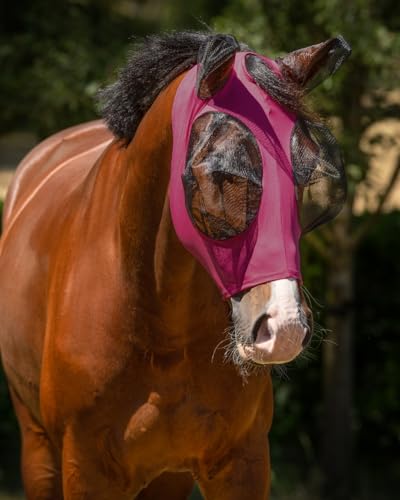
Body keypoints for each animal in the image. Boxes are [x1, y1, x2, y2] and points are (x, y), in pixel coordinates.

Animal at [0, 32, 350, 500]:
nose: (285, 326)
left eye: (304, 178)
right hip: (39, 451)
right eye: (220, 173)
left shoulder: (241, 463)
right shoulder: (85, 471)